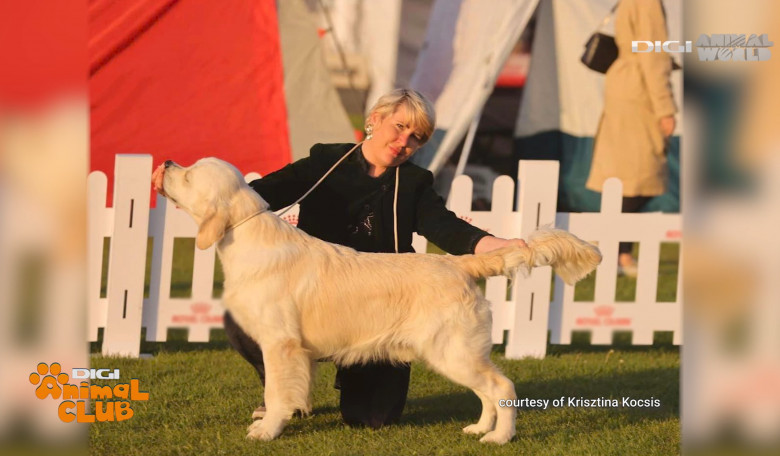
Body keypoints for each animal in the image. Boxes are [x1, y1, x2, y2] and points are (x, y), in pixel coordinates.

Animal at [161, 159, 600, 444]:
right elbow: (292, 390)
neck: (250, 238)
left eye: (189, 174)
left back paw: (500, 437)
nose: (165, 162)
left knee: (503, 387)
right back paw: (481, 428)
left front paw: (267, 430)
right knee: (487, 392)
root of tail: (457, 263)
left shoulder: (279, 343)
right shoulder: (294, 351)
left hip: (452, 351)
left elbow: (276, 393)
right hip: (460, 353)